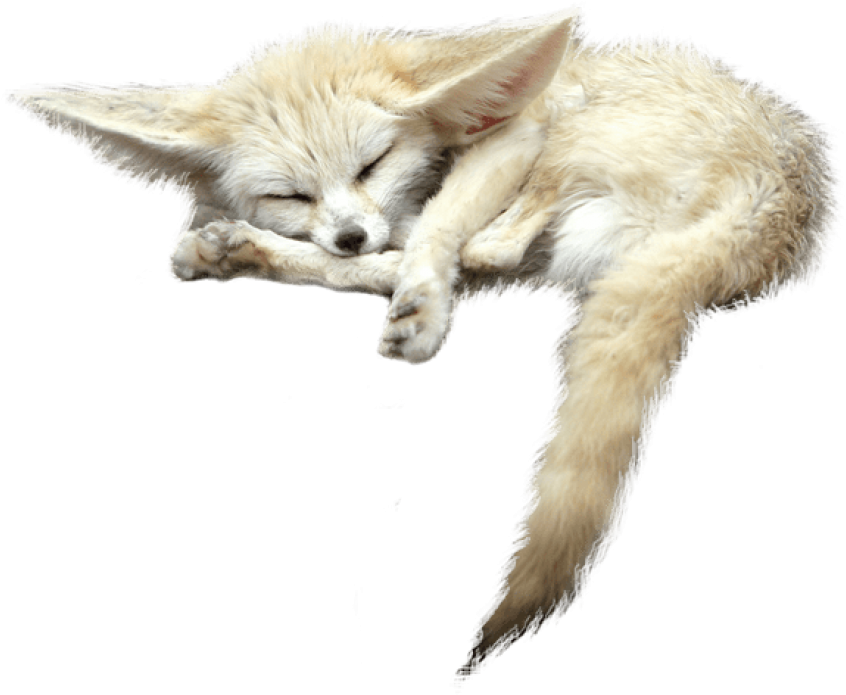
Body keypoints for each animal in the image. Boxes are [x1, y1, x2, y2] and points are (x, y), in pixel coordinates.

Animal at [8, 7, 839, 682]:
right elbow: (408, 246)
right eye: (290, 193)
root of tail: (787, 207)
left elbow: (442, 227)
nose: (348, 231)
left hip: (573, 136)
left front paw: (418, 307)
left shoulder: (513, 135)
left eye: (371, 164)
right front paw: (258, 243)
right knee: (468, 258)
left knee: (488, 244)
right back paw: (250, 254)